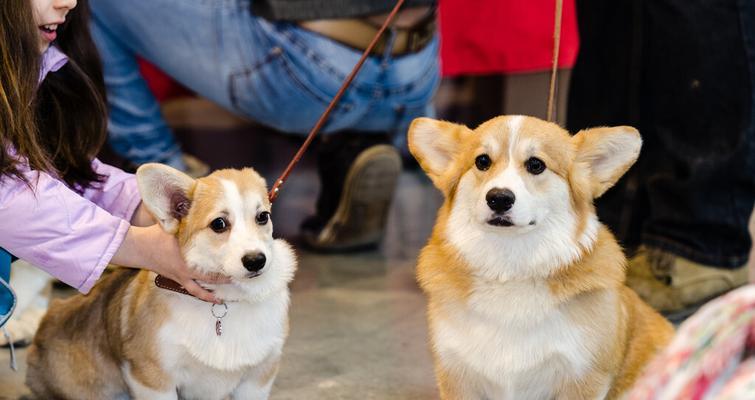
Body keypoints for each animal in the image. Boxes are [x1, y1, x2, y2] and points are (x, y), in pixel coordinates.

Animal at [24, 164, 296, 398]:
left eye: (263, 217)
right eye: (219, 224)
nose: (256, 260)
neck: (227, 298)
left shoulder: (258, 379)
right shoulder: (153, 380)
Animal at [410, 115, 676, 400]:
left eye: (536, 165)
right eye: (482, 161)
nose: (499, 198)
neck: (510, 267)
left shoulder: (584, 378)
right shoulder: (457, 374)